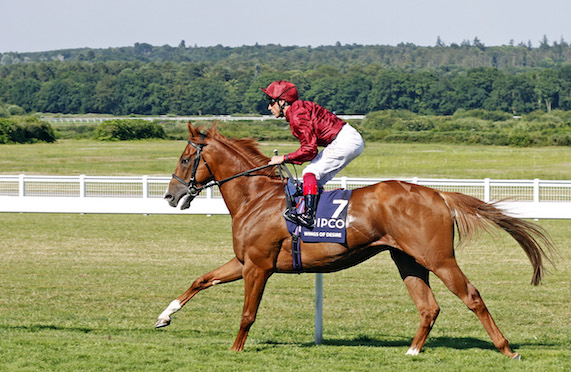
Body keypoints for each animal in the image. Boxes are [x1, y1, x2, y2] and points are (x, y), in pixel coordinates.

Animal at [155, 123, 556, 358]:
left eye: (186, 158)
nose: (171, 196)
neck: (256, 198)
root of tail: (439, 195)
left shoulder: (258, 265)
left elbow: (247, 313)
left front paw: (236, 349)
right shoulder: (243, 261)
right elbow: (201, 279)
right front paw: (164, 316)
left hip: (439, 258)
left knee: (471, 296)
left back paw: (506, 349)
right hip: (407, 259)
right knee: (429, 307)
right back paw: (412, 351)